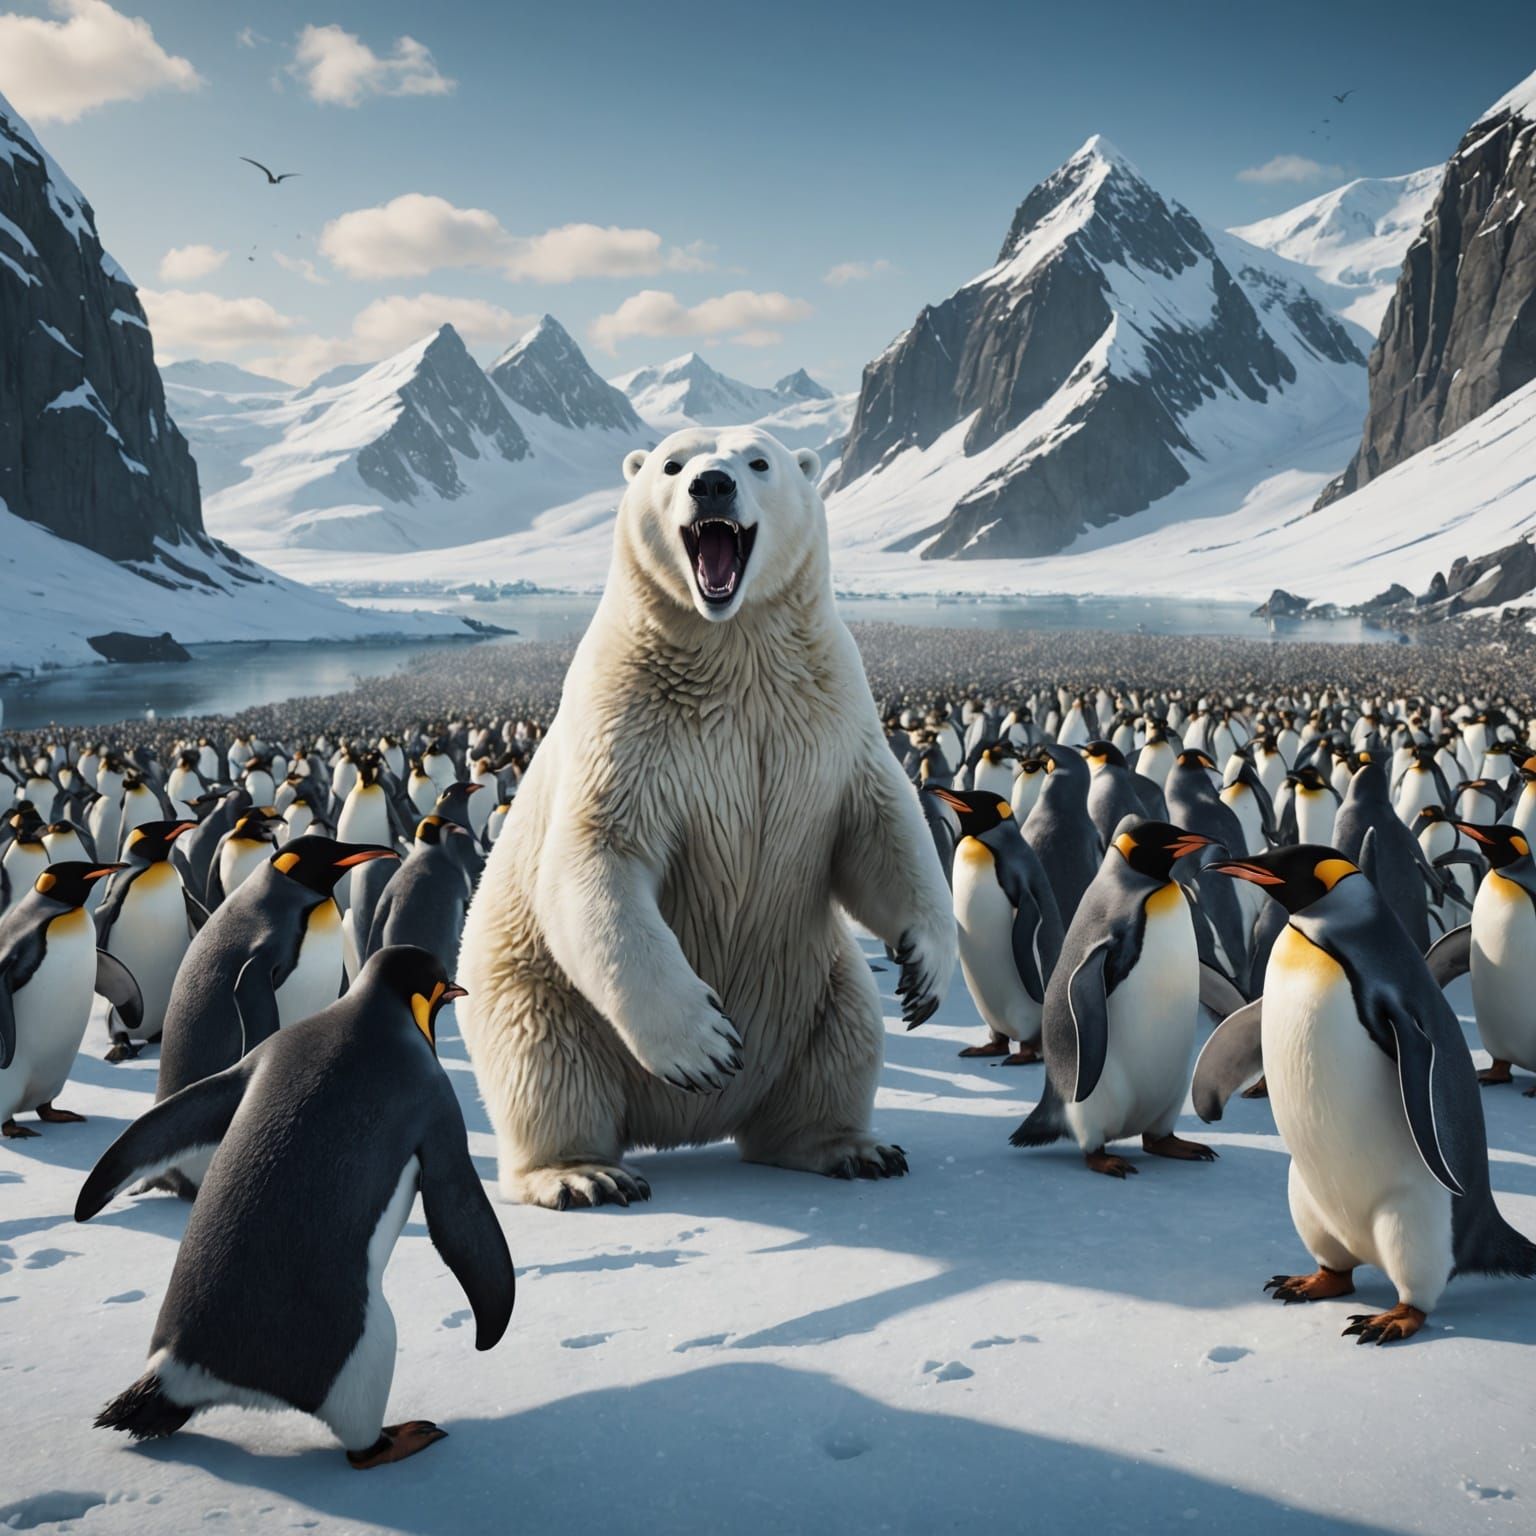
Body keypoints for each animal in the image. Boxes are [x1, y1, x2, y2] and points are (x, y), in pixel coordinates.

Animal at [455, 425, 956, 1210]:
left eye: (760, 461)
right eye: (670, 463)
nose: (711, 486)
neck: (733, 648)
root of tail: (684, 1128)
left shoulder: (832, 718)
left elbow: (880, 826)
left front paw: (924, 971)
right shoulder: (629, 728)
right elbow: (598, 856)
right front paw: (705, 1044)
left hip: (818, 984)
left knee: (843, 1043)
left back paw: (850, 1147)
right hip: (532, 989)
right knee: (544, 1067)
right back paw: (583, 1174)